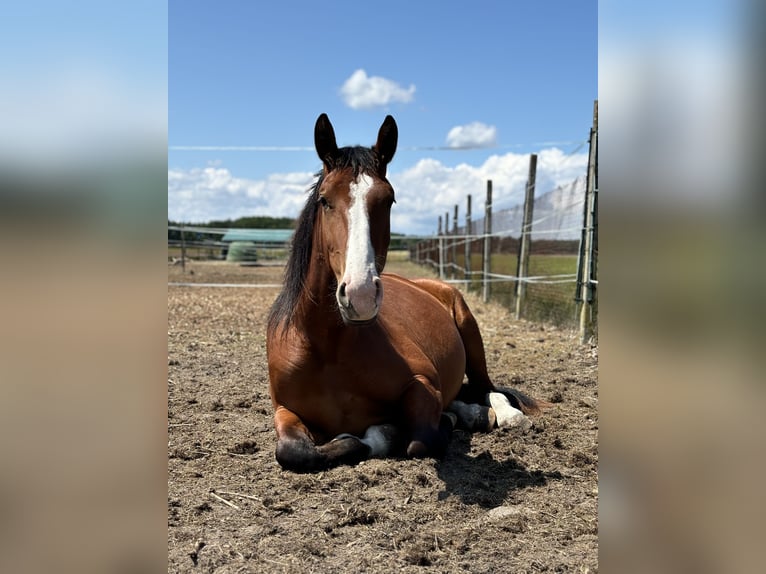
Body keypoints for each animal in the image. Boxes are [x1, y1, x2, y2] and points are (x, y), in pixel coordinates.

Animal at [268, 113, 548, 472]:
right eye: (325, 200)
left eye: (388, 200)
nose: (360, 295)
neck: (327, 347)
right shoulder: (283, 410)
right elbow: (294, 452)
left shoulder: (423, 382)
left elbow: (419, 439)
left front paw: (405, 428)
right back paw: (470, 413)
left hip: (470, 331)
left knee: (486, 389)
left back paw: (500, 415)